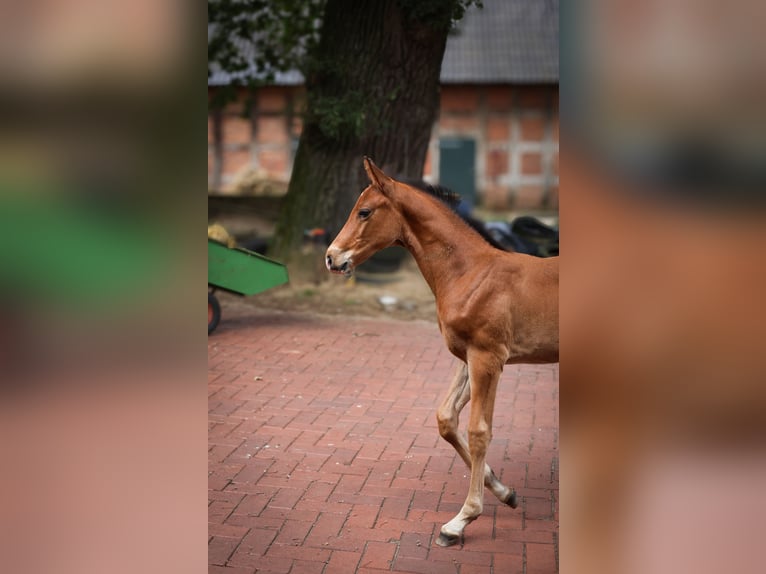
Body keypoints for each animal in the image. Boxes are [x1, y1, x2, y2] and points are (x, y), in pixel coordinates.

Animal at [328, 158, 560, 548]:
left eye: (364, 211)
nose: (331, 257)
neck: (471, 273)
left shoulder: (488, 358)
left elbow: (479, 430)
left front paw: (461, 520)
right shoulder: (468, 357)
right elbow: (446, 418)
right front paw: (504, 490)